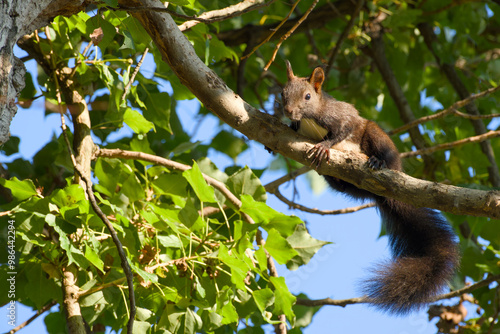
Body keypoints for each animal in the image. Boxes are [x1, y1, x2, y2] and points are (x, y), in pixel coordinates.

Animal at [280, 60, 458, 316]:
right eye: (282, 93)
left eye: (307, 96)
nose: (288, 111)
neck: (310, 118)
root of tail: (386, 195)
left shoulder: (342, 117)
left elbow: (342, 130)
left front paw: (325, 145)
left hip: (376, 135)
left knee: (381, 150)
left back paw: (377, 162)